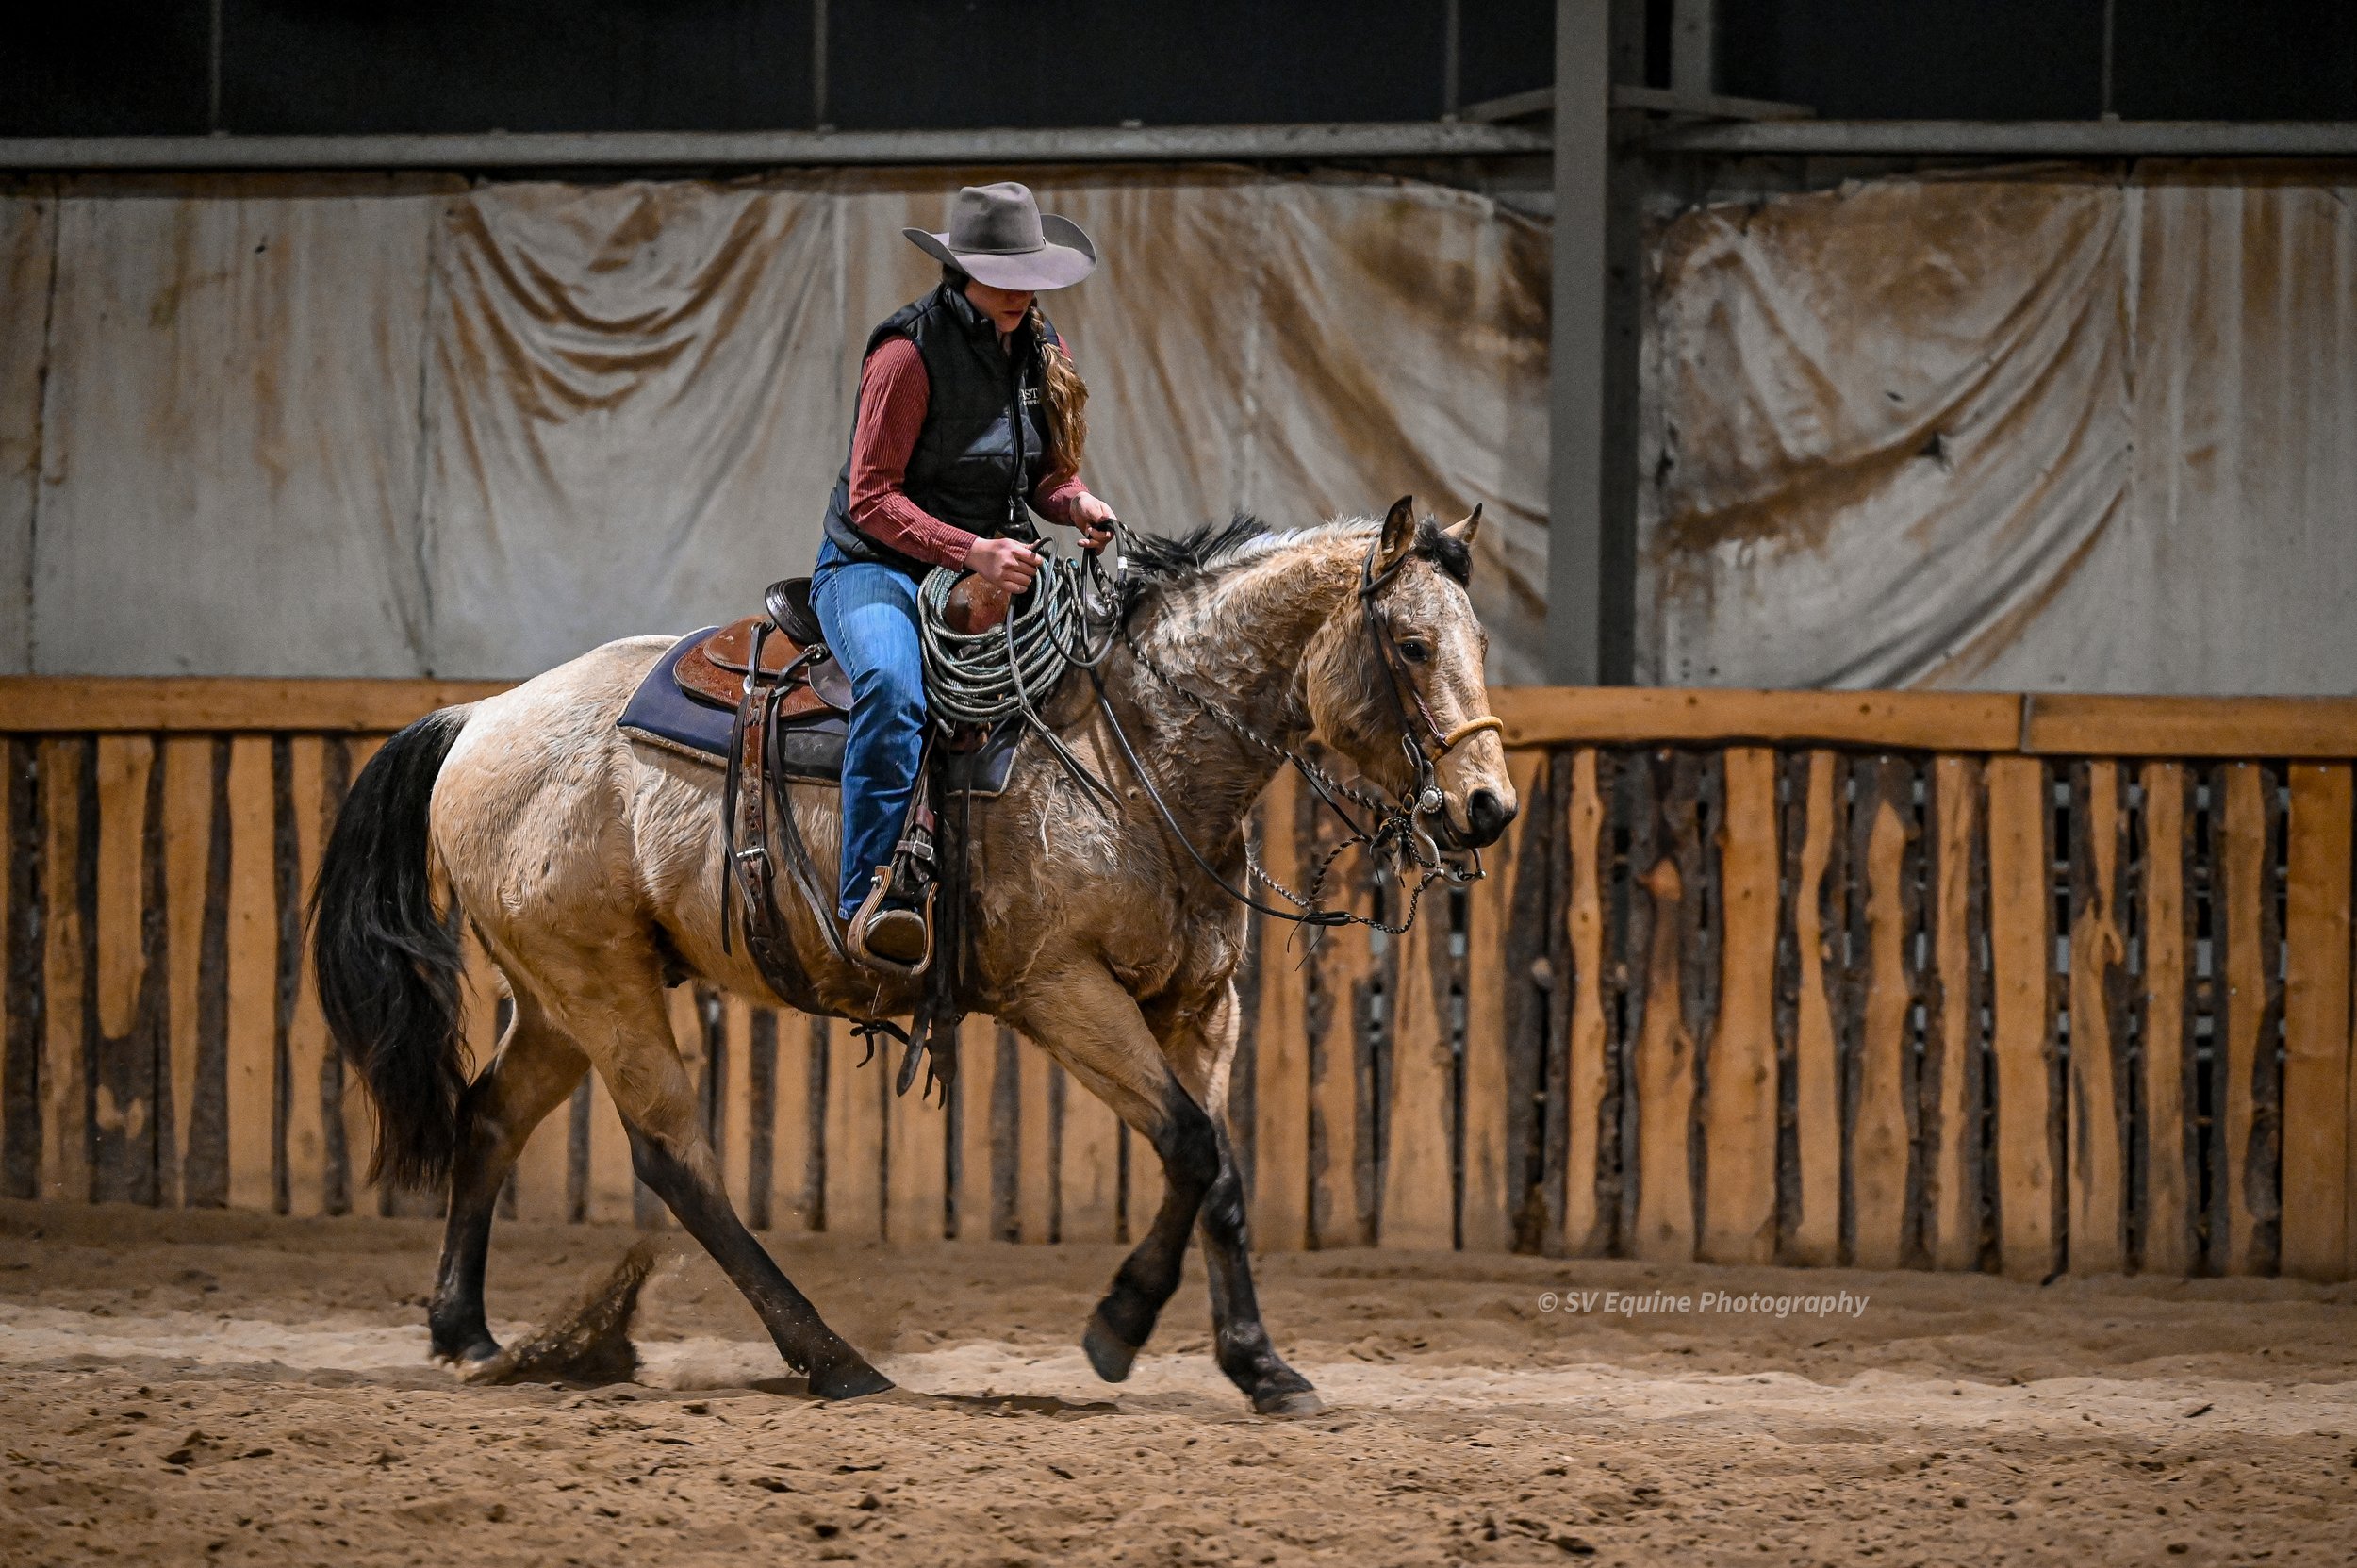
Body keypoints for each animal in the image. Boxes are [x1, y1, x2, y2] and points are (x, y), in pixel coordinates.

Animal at [309, 497, 1517, 1415]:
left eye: (1478, 645)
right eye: (1412, 646)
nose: (1487, 807)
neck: (1135, 746)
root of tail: (480, 716)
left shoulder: (1199, 1003)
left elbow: (1214, 1167)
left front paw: (1260, 1366)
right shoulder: (1062, 992)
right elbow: (1186, 1143)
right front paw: (1119, 1325)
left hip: (562, 992)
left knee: (491, 1118)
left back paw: (468, 1333)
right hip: (600, 985)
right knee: (673, 1160)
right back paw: (831, 1358)